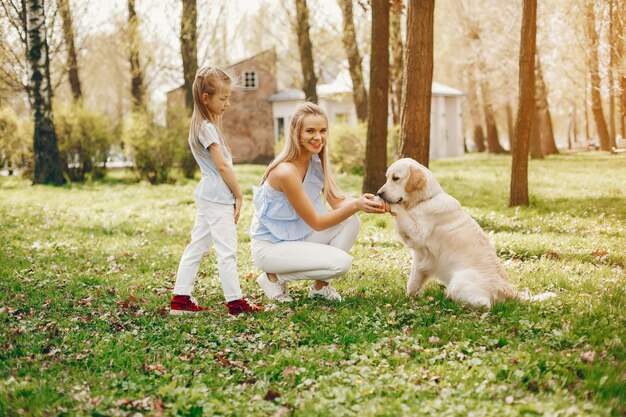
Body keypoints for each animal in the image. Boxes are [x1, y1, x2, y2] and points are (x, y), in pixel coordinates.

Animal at [378, 158, 552, 308]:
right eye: (387, 177)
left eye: (395, 178)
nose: (379, 193)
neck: (425, 200)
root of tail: (507, 291)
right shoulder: (421, 257)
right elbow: (413, 282)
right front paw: (409, 298)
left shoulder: (419, 233)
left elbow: (401, 213)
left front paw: (390, 205)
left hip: (459, 280)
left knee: (484, 304)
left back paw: (449, 299)